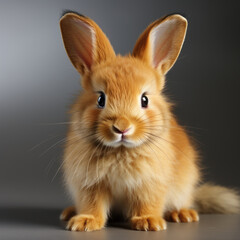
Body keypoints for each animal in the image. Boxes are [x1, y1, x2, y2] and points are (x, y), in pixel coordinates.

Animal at [58, 12, 240, 232]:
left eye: (144, 100)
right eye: (101, 99)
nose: (122, 127)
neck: (120, 150)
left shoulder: (150, 184)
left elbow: (148, 202)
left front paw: (149, 222)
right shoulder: (90, 184)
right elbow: (93, 204)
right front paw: (85, 222)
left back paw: (182, 214)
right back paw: (69, 213)